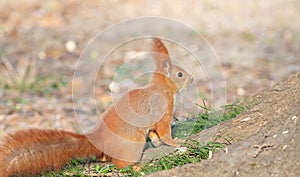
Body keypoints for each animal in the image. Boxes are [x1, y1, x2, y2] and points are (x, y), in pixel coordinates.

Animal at [0, 37, 192, 176]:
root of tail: (98, 141)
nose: (193, 78)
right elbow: (164, 131)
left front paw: (156, 142)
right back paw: (137, 167)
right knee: (120, 164)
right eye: (180, 74)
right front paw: (175, 142)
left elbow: (153, 131)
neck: (161, 87)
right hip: (132, 146)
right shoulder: (164, 111)